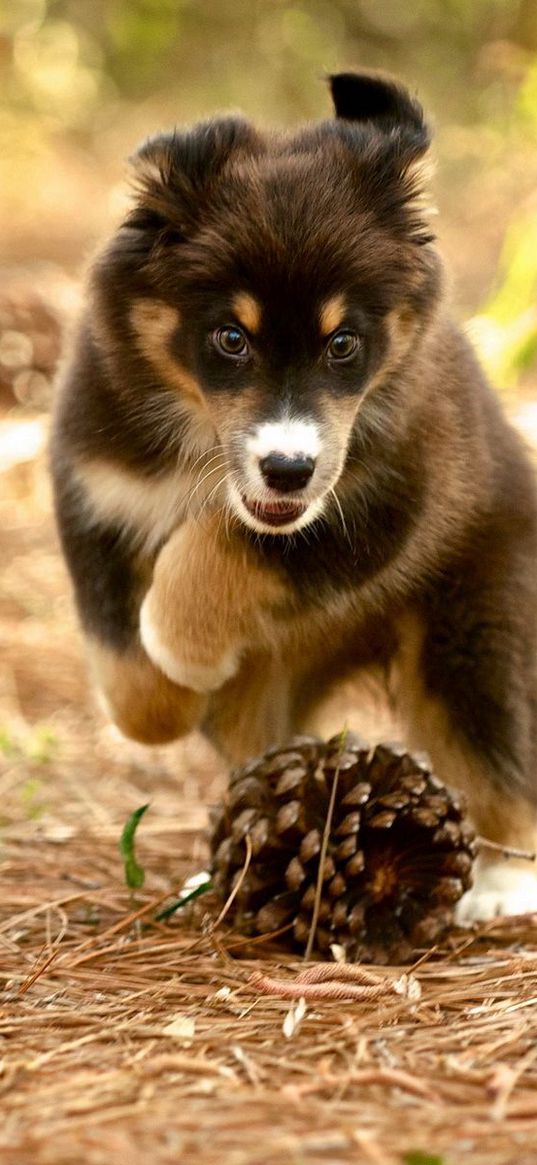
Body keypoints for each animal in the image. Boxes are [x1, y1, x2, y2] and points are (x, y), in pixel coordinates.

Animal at [51, 77, 537, 922]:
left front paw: (182, 647)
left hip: (471, 629)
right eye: (230, 338)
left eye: (343, 344)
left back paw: (500, 887)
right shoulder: (95, 492)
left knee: (489, 747)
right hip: (267, 695)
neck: (199, 442)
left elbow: (222, 547)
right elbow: (121, 655)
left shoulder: (388, 499)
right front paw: (167, 702)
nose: (287, 469)